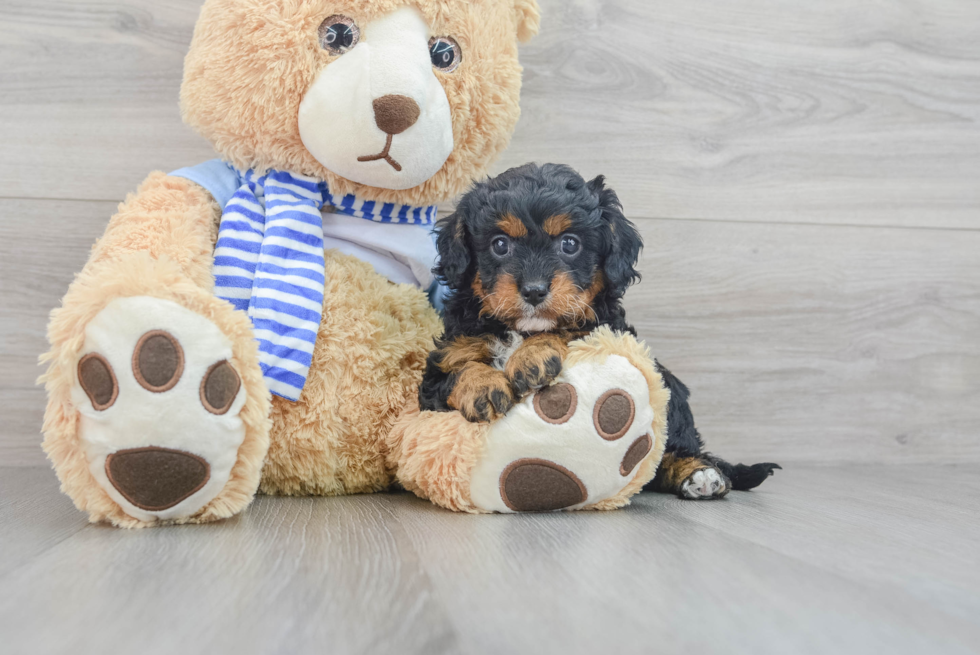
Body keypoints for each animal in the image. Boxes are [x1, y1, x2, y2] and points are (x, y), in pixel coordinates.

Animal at [418, 165, 776, 502]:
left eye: (570, 244)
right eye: (500, 245)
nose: (534, 290)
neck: (520, 328)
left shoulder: (608, 328)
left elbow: (571, 329)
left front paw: (532, 356)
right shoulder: (440, 368)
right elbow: (456, 372)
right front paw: (483, 386)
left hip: (669, 392)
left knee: (672, 447)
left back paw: (699, 473)